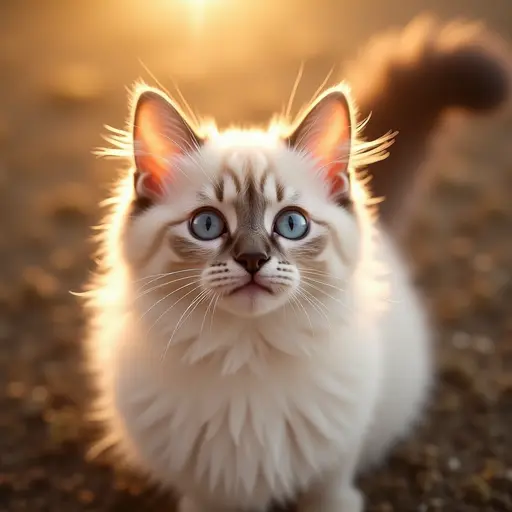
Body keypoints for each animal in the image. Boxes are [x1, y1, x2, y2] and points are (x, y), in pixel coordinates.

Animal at [83, 16, 508, 512]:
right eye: (206, 225)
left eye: (291, 224)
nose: (252, 259)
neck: (246, 359)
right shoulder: (209, 496)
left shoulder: (333, 474)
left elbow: (329, 490)